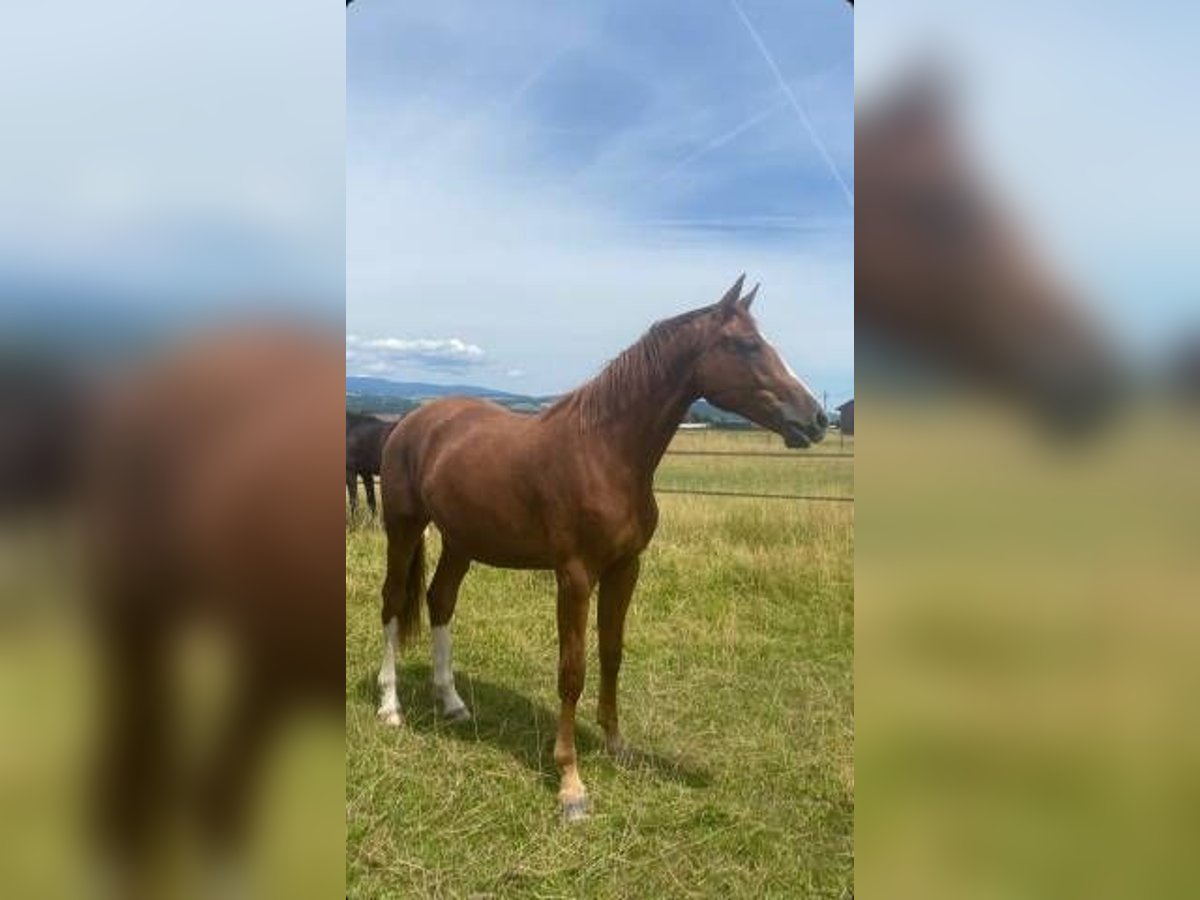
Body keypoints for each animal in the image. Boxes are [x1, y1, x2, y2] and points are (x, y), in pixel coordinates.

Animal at [374, 277, 825, 825]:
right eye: (746, 345)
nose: (816, 418)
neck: (605, 453)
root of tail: (410, 420)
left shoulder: (625, 569)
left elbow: (612, 654)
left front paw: (617, 745)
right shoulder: (574, 576)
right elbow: (573, 671)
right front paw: (570, 784)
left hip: (461, 540)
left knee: (440, 602)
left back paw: (453, 704)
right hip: (403, 527)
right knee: (393, 603)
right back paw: (390, 707)